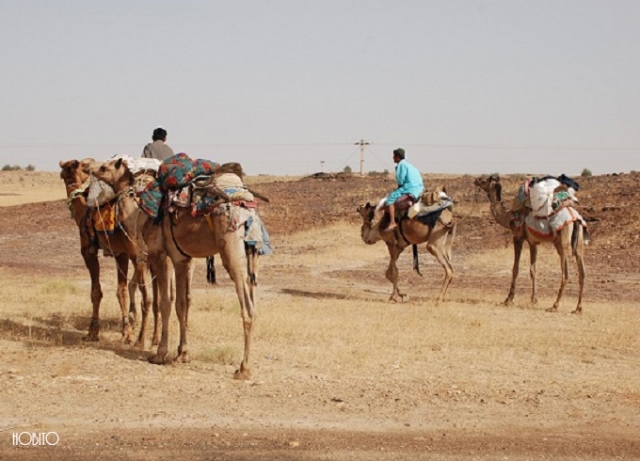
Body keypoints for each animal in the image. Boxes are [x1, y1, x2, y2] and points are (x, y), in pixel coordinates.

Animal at [58, 160, 158, 344]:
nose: (89, 167)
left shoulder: (88, 251)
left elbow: (96, 291)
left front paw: (93, 331)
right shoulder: (121, 254)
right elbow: (121, 291)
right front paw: (126, 331)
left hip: (141, 257)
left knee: (148, 297)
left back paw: (142, 340)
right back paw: (154, 338)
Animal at [92, 156, 260, 380]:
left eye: (104, 167)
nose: (91, 169)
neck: (139, 214)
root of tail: (245, 202)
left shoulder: (159, 255)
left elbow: (165, 302)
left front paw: (159, 353)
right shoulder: (183, 260)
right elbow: (182, 304)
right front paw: (182, 353)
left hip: (231, 245)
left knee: (247, 307)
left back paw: (243, 369)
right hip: (252, 253)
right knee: (253, 297)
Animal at [476, 173, 584, 312]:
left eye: (484, 180)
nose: (476, 180)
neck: (508, 217)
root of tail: (574, 218)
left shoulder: (518, 237)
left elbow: (515, 268)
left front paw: (509, 299)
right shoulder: (533, 242)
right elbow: (533, 270)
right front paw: (534, 299)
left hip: (563, 243)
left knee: (565, 273)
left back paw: (554, 305)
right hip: (578, 244)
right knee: (582, 273)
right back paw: (578, 308)